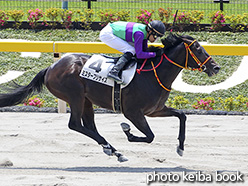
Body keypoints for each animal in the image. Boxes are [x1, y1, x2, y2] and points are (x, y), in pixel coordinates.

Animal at [0, 34, 219, 162]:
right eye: (198, 49)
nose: (215, 67)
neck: (154, 73)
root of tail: (51, 67)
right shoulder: (133, 112)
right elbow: (149, 136)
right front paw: (128, 132)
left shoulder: (155, 110)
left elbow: (182, 115)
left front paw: (180, 147)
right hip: (75, 96)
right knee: (75, 125)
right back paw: (113, 149)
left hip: (86, 100)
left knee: (89, 126)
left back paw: (112, 149)